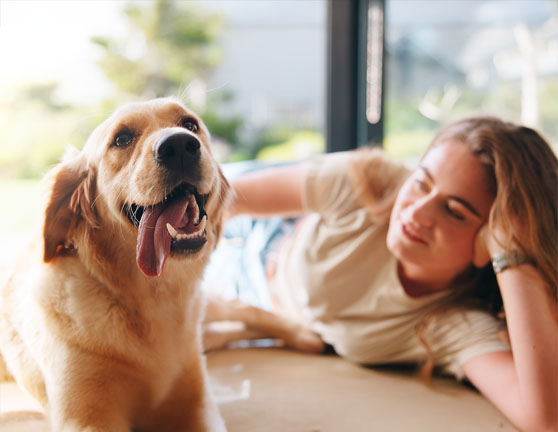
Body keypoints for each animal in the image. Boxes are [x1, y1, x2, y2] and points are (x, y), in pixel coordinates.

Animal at [0, 98, 231, 432]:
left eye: (190, 125)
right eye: (121, 139)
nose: (179, 145)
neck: (152, 297)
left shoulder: (199, 403)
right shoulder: (85, 416)